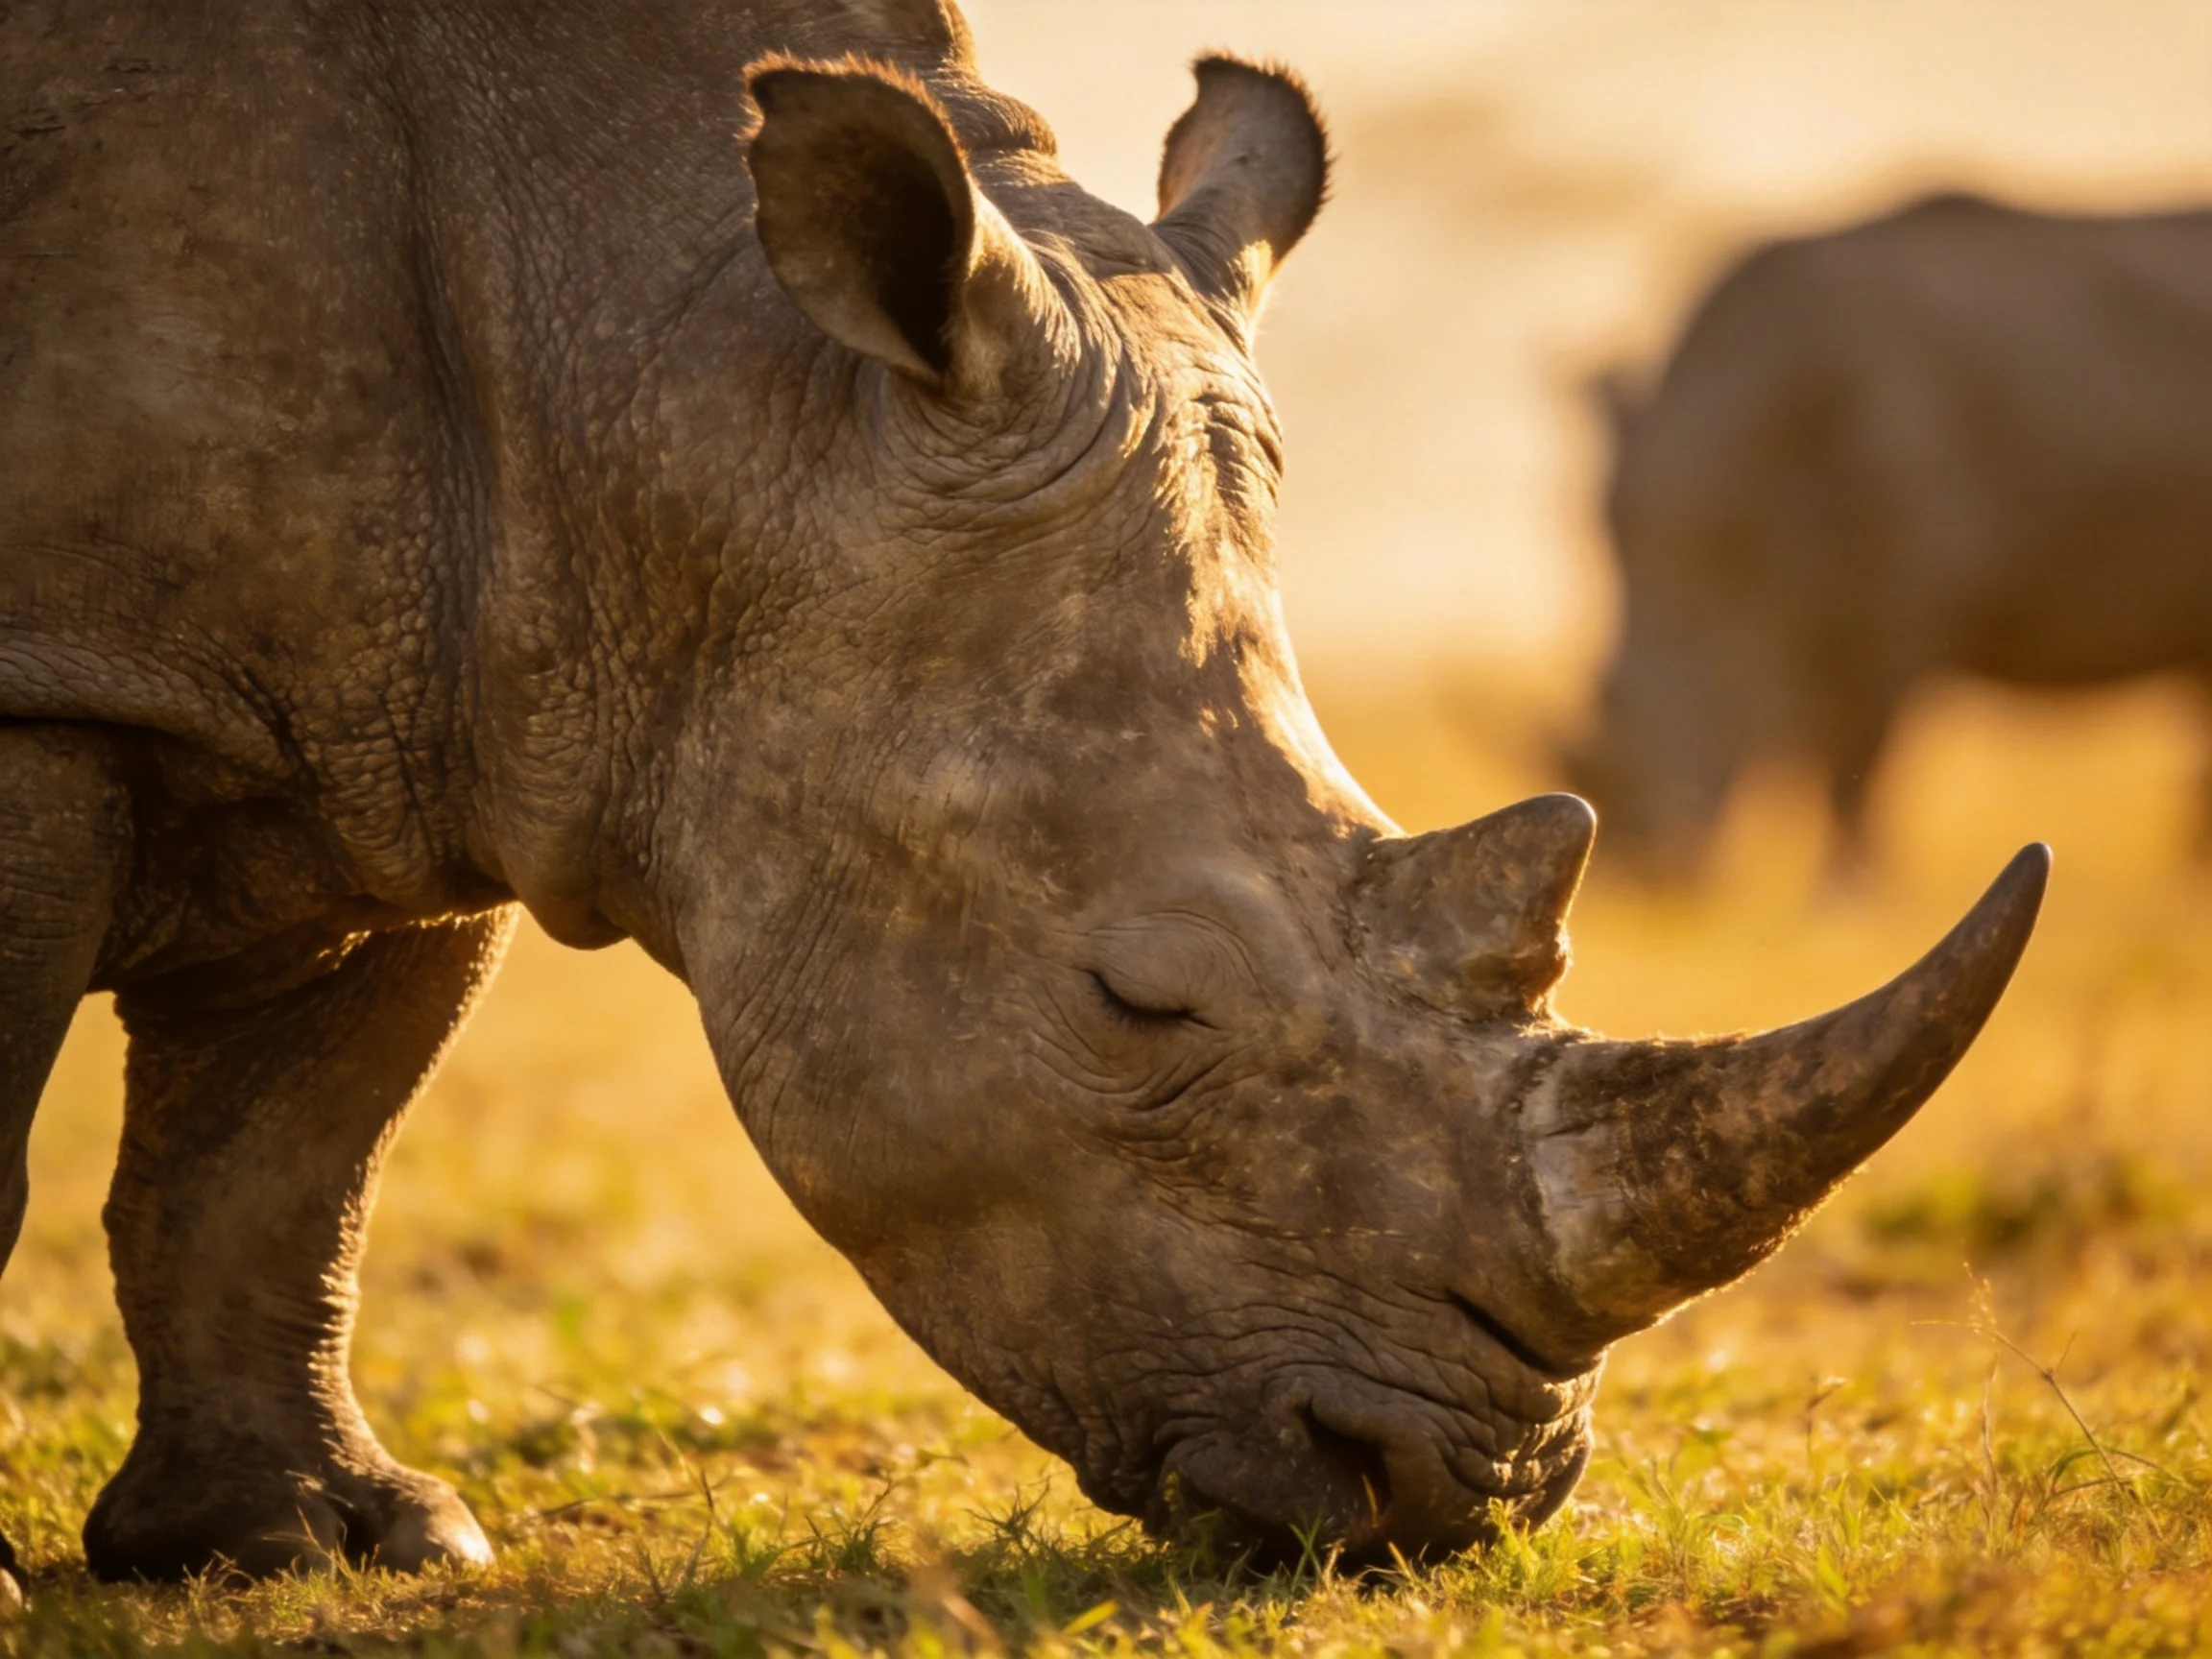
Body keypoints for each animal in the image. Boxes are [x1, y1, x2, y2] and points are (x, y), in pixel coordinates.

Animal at [0, 0, 2045, 1588]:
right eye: (1138, 1001)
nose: (1450, 1493)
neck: (674, 372)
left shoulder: (438, 715)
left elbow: (289, 1153)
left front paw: (313, 1542)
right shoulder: (84, 683)